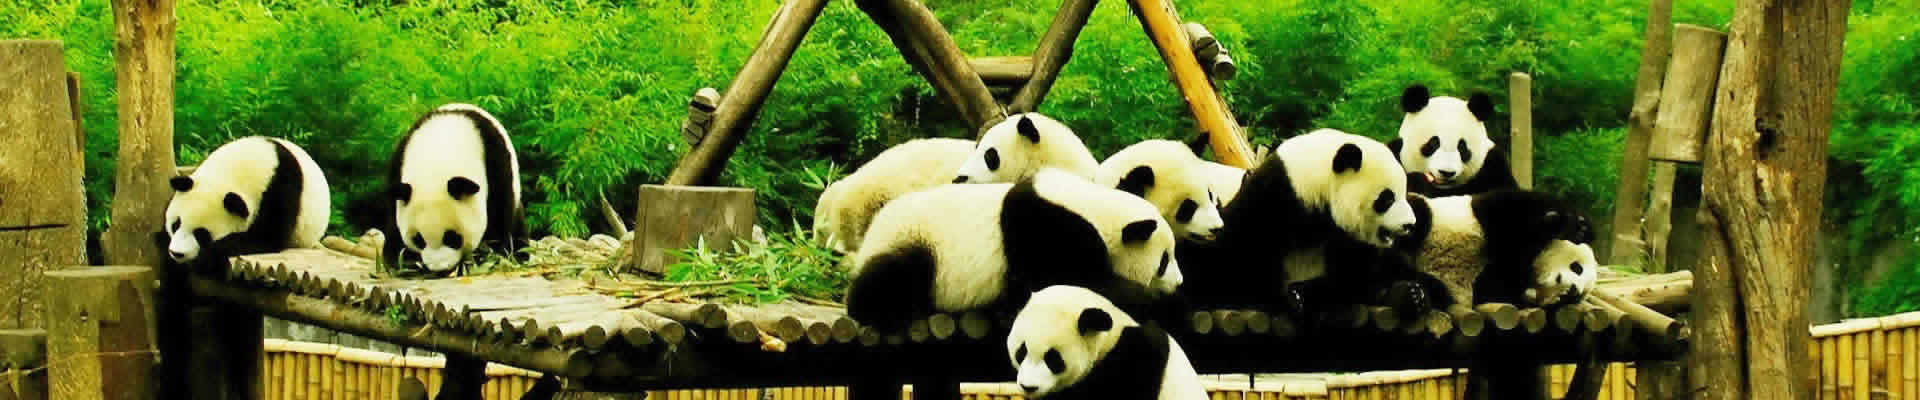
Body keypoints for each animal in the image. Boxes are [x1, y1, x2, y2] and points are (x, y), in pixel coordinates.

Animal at [161, 136, 331, 263]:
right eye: (176, 224)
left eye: (202, 234)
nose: (177, 253)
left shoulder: (279, 190)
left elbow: (267, 239)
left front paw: (209, 254)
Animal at [383, 103, 526, 274]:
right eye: (419, 239)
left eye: (452, 237)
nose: (439, 268)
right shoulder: (398, 165)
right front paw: (405, 261)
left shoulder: (495, 164)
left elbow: (498, 215)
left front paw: (483, 256)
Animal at [846, 168, 1184, 332]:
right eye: (1163, 261)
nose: (1179, 282)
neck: (1095, 208)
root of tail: (872, 233)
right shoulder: (1046, 232)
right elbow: (1076, 282)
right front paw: (1162, 301)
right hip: (918, 241)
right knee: (892, 277)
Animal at [1175, 129, 1429, 318]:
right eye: (1386, 198)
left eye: (1404, 193)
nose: (1410, 224)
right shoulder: (1274, 196)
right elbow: (1244, 255)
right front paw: (1288, 298)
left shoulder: (1346, 234)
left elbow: (1354, 277)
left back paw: (1411, 294)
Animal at [1392, 190, 1600, 309]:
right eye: (1577, 268)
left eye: (1576, 297)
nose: (1573, 290)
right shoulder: (1498, 214)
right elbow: (1513, 214)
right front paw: (1576, 226)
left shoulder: (1493, 287)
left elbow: (1491, 288)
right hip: (1422, 219)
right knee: (1418, 216)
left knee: (1433, 288)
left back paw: (1409, 294)